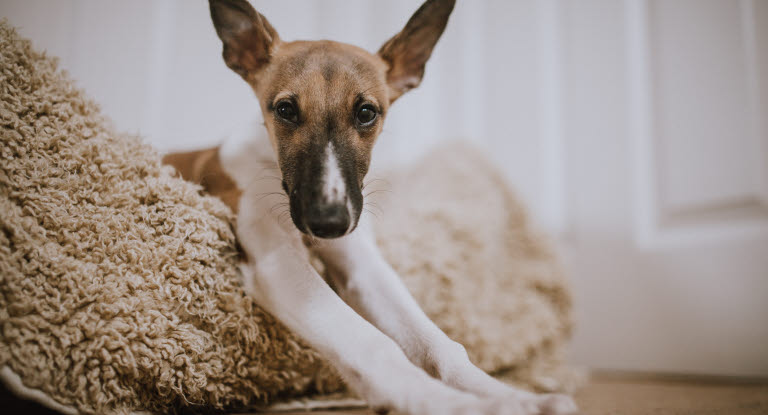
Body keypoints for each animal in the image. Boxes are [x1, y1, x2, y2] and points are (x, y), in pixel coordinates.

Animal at [164, 1, 584, 414]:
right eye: (285, 110)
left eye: (366, 112)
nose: (328, 224)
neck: (269, 163)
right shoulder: (277, 262)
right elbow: (372, 343)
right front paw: (453, 403)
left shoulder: (362, 265)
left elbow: (439, 343)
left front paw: (512, 395)